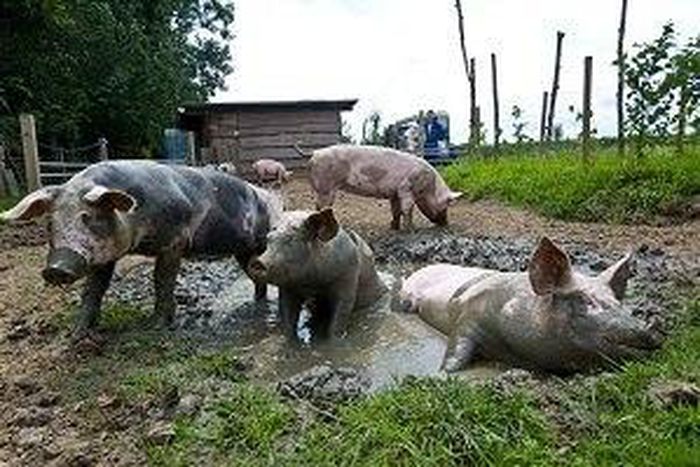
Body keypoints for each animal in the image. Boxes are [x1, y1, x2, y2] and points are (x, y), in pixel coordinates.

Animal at [1, 160, 279, 339]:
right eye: (50, 223)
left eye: (89, 217)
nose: (57, 268)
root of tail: (266, 196)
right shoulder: (105, 256)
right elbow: (94, 289)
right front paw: (77, 335)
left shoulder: (174, 242)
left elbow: (162, 281)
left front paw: (155, 326)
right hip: (243, 251)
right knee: (256, 275)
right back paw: (258, 301)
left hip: (259, 242)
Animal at [247, 208, 386, 340]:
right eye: (269, 238)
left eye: (290, 239)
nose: (257, 262)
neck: (312, 284)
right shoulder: (287, 286)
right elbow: (287, 315)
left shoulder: (348, 277)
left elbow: (340, 314)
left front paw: (332, 342)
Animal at [295, 144, 461, 230]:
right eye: (446, 205)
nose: (446, 224)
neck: (429, 186)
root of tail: (315, 152)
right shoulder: (406, 189)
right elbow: (407, 209)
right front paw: (411, 229)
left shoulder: (394, 193)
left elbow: (395, 210)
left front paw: (394, 228)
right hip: (326, 187)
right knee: (321, 207)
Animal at [398, 237, 661, 374]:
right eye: (584, 301)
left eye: (618, 302)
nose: (648, 331)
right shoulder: (468, 316)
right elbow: (457, 349)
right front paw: (442, 374)